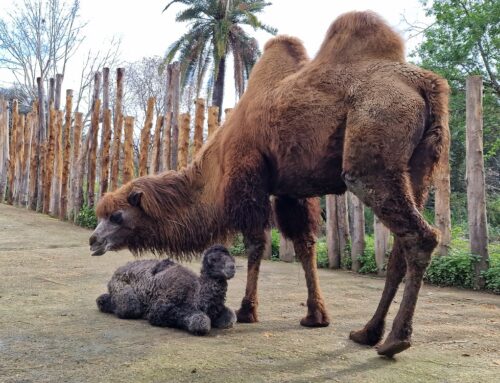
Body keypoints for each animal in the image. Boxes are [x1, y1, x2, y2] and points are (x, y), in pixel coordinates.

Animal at [89, 12, 450, 360]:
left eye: (116, 215)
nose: (93, 241)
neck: (215, 164)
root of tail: (425, 84)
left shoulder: (248, 176)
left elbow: (256, 244)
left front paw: (247, 310)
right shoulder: (290, 190)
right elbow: (304, 244)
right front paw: (316, 316)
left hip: (371, 152)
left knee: (420, 235)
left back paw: (394, 340)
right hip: (418, 168)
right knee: (402, 243)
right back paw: (367, 332)